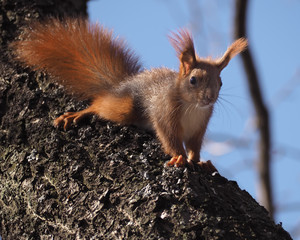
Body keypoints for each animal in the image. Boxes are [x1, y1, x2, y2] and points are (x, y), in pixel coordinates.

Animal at [11, 18, 247, 169]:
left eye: (221, 83)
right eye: (193, 80)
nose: (209, 98)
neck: (192, 107)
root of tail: (122, 84)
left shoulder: (199, 126)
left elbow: (195, 146)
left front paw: (199, 161)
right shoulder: (164, 113)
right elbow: (170, 138)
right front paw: (180, 157)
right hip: (125, 107)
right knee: (100, 104)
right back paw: (78, 114)